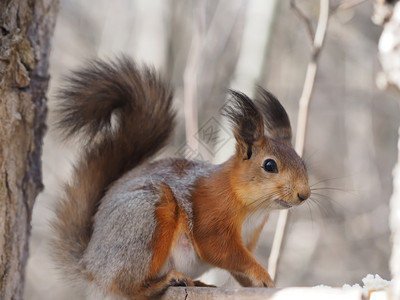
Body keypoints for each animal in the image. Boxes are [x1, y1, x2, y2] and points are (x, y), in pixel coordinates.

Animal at [50, 55, 312, 298]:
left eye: (302, 163)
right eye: (269, 165)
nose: (304, 195)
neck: (253, 208)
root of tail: (91, 265)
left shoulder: (249, 237)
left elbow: (239, 270)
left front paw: (263, 283)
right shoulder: (211, 214)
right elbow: (222, 250)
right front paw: (262, 273)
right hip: (145, 220)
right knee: (125, 286)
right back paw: (164, 282)